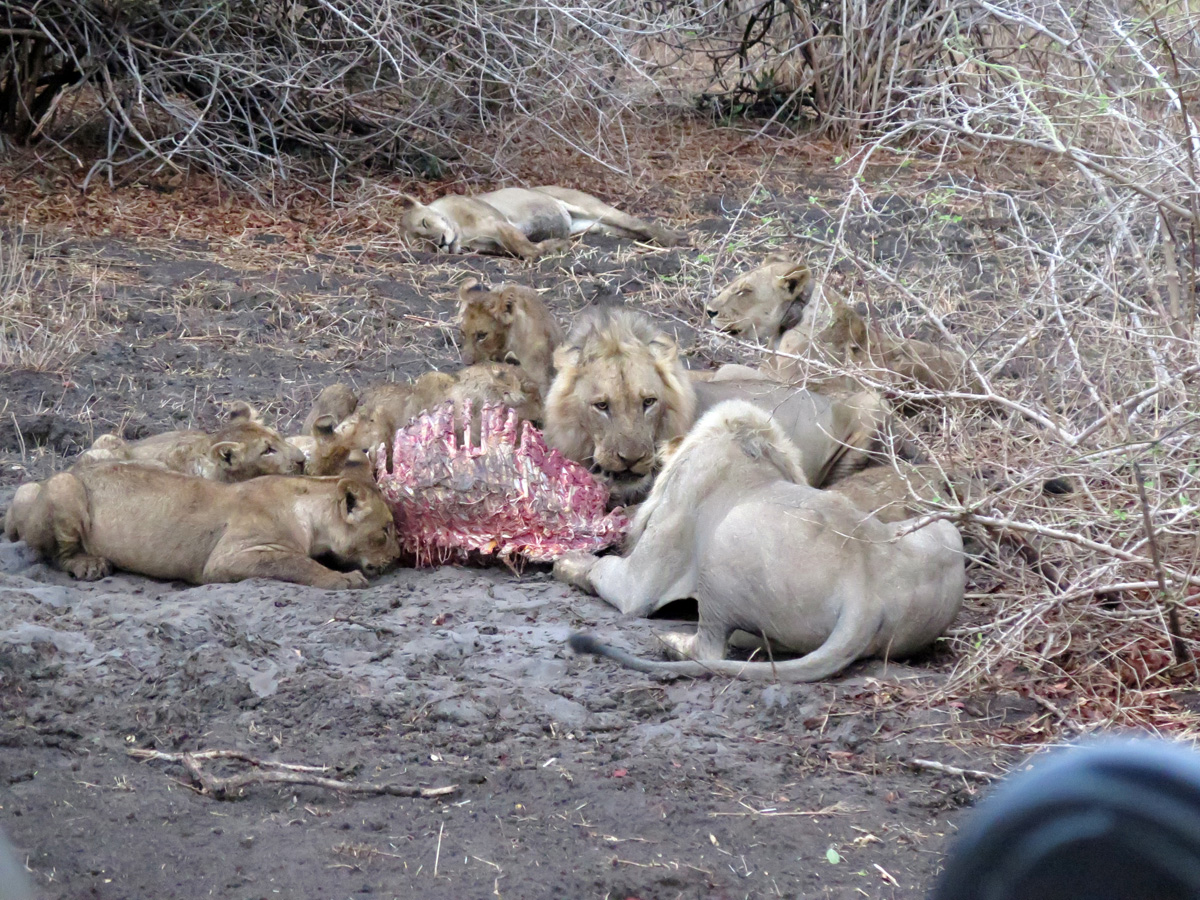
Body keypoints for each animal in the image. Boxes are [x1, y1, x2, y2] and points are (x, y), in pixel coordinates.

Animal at [6, 462, 400, 589]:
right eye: (385, 532)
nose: (397, 557)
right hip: (63, 487)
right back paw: (90, 564)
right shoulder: (229, 556)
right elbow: (295, 562)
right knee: (54, 553)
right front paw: (343, 579)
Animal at [399, 186, 686, 260]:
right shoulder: (495, 245)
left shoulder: (499, 224)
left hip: (592, 207)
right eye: (423, 244)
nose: (440, 243)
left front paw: (556, 247)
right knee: (629, 230)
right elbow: (521, 249)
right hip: (596, 224)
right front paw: (556, 245)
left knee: (638, 223)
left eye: (425, 223)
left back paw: (674, 239)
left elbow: (527, 249)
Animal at [556, 400, 966, 681]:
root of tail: (865, 594)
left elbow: (604, 571)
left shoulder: (641, 582)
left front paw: (566, 562)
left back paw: (669, 643)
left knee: (710, 648)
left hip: (725, 541)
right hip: (944, 530)